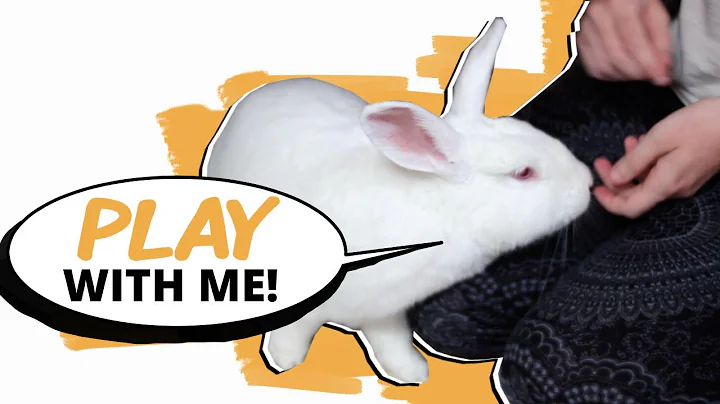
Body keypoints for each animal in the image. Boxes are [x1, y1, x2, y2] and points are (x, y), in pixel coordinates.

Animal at [201, 17, 593, 384]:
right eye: (524, 173)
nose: (588, 182)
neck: (439, 207)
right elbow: (293, 331)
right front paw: (285, 362)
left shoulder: (386, 311)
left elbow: (391, 340)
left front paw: (411, 371)